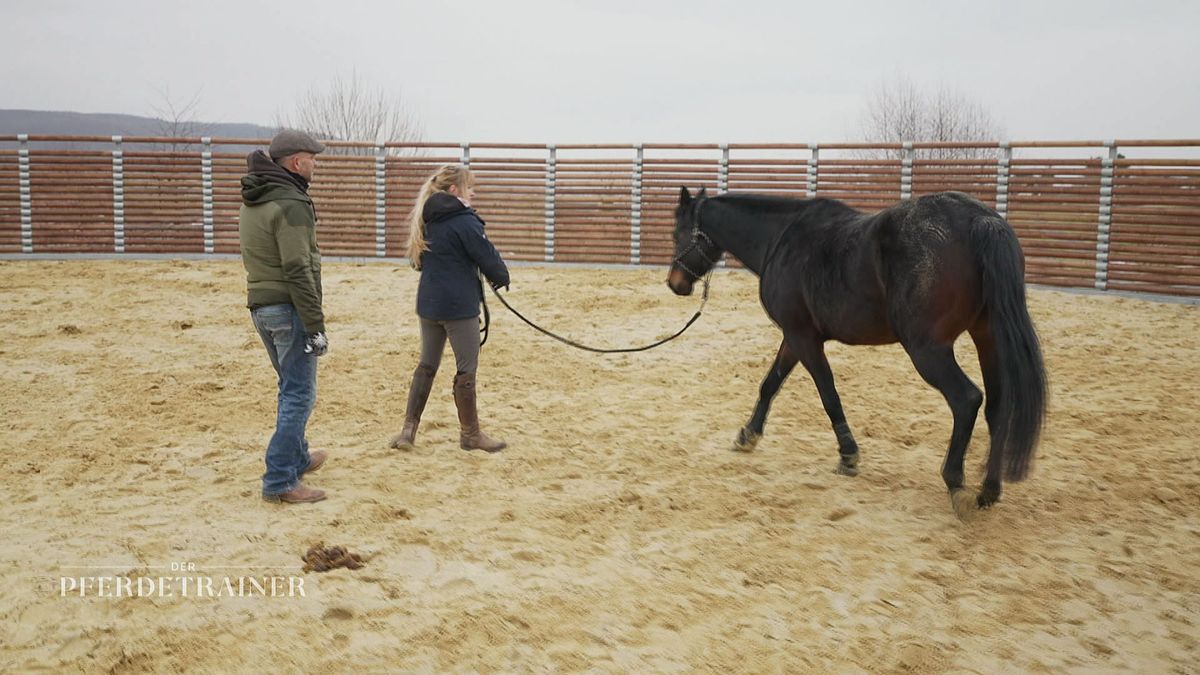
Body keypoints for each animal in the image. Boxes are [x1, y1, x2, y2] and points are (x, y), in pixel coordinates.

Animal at [672, 184, 1046, 509]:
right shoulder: (794, 337)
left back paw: (955, 481)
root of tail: (980, 220)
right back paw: (989, 489)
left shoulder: (803, 338)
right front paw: (748, 434)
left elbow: (828, 395)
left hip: (927, 350)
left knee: (966, 399)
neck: (780, 238)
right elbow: (770, 384)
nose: (675, 283)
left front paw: (848, 455)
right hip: (987, 337)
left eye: (677, 233)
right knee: (998, 406)